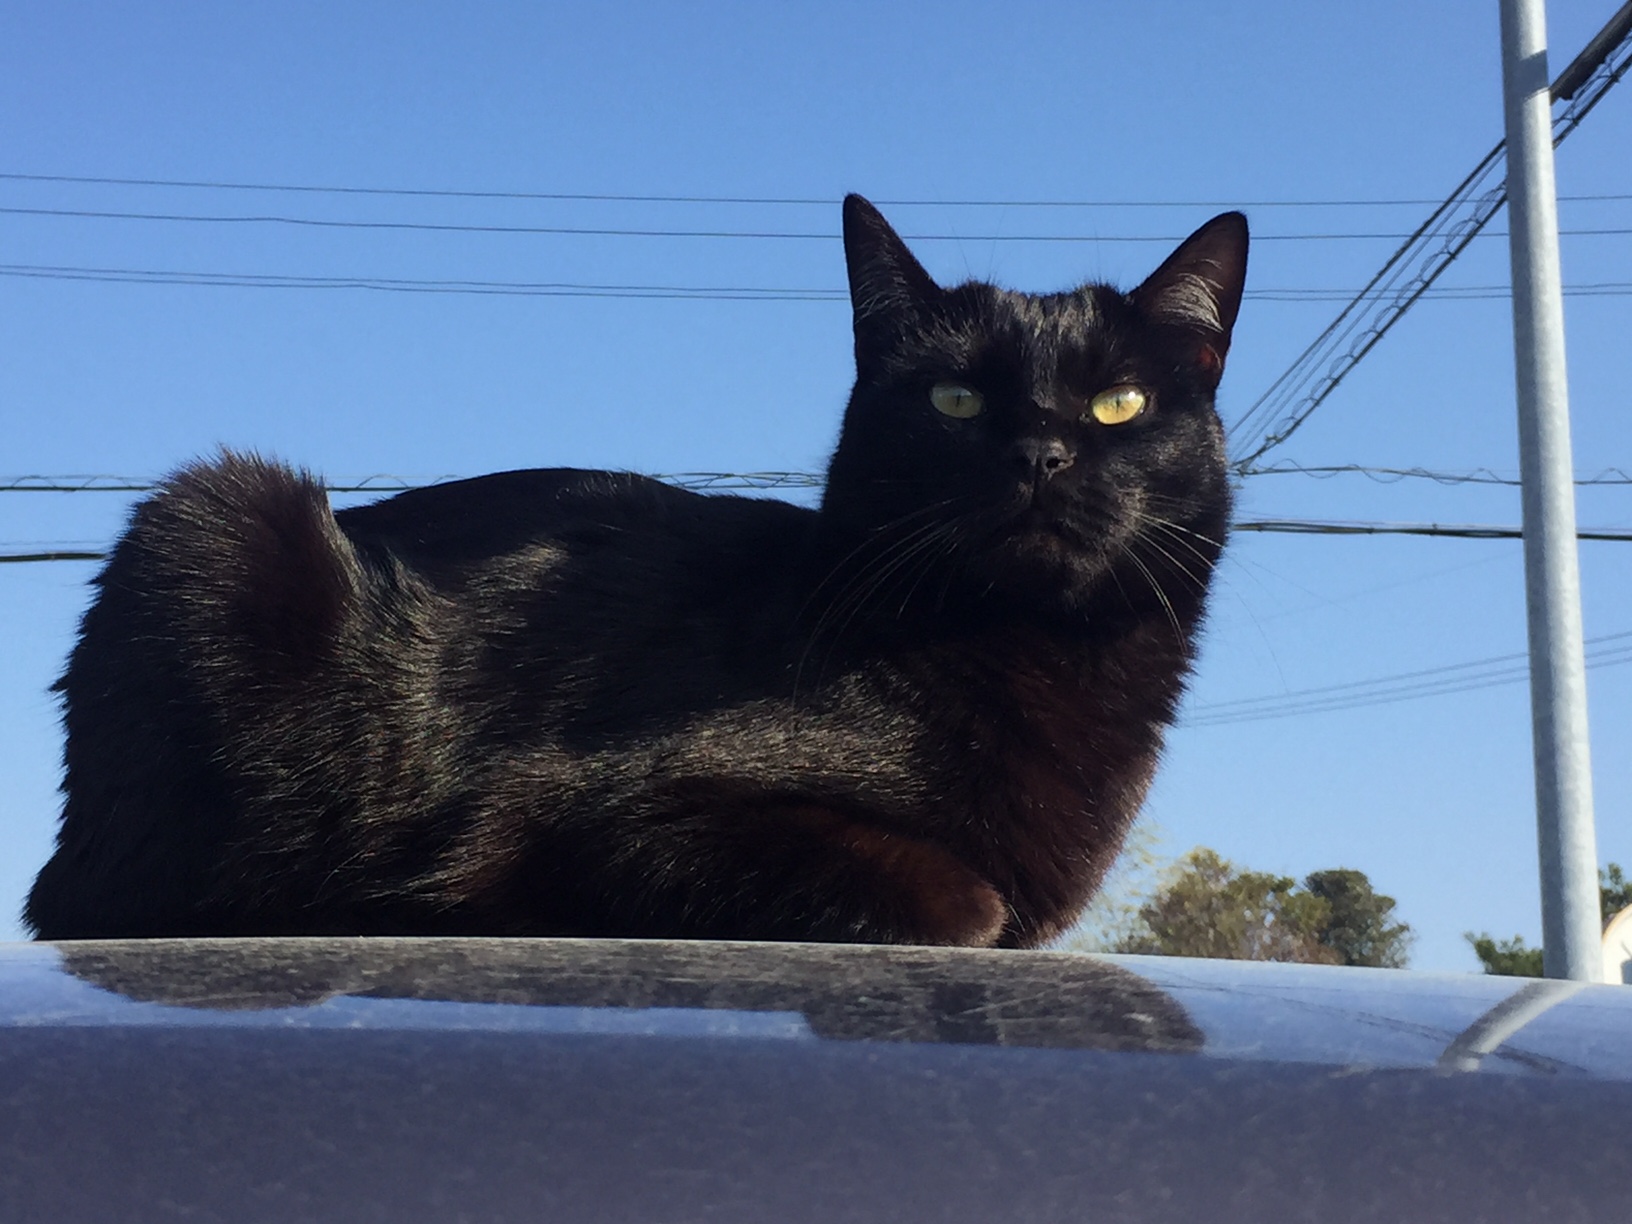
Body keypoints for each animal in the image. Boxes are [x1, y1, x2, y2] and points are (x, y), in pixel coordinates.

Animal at [26, 195, 1246, 947]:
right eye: (954, 401)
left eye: (1118, 404)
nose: (1038, 455)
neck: (1009, 645)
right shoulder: (600, 815)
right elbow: (971, 904)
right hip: (222, 514)